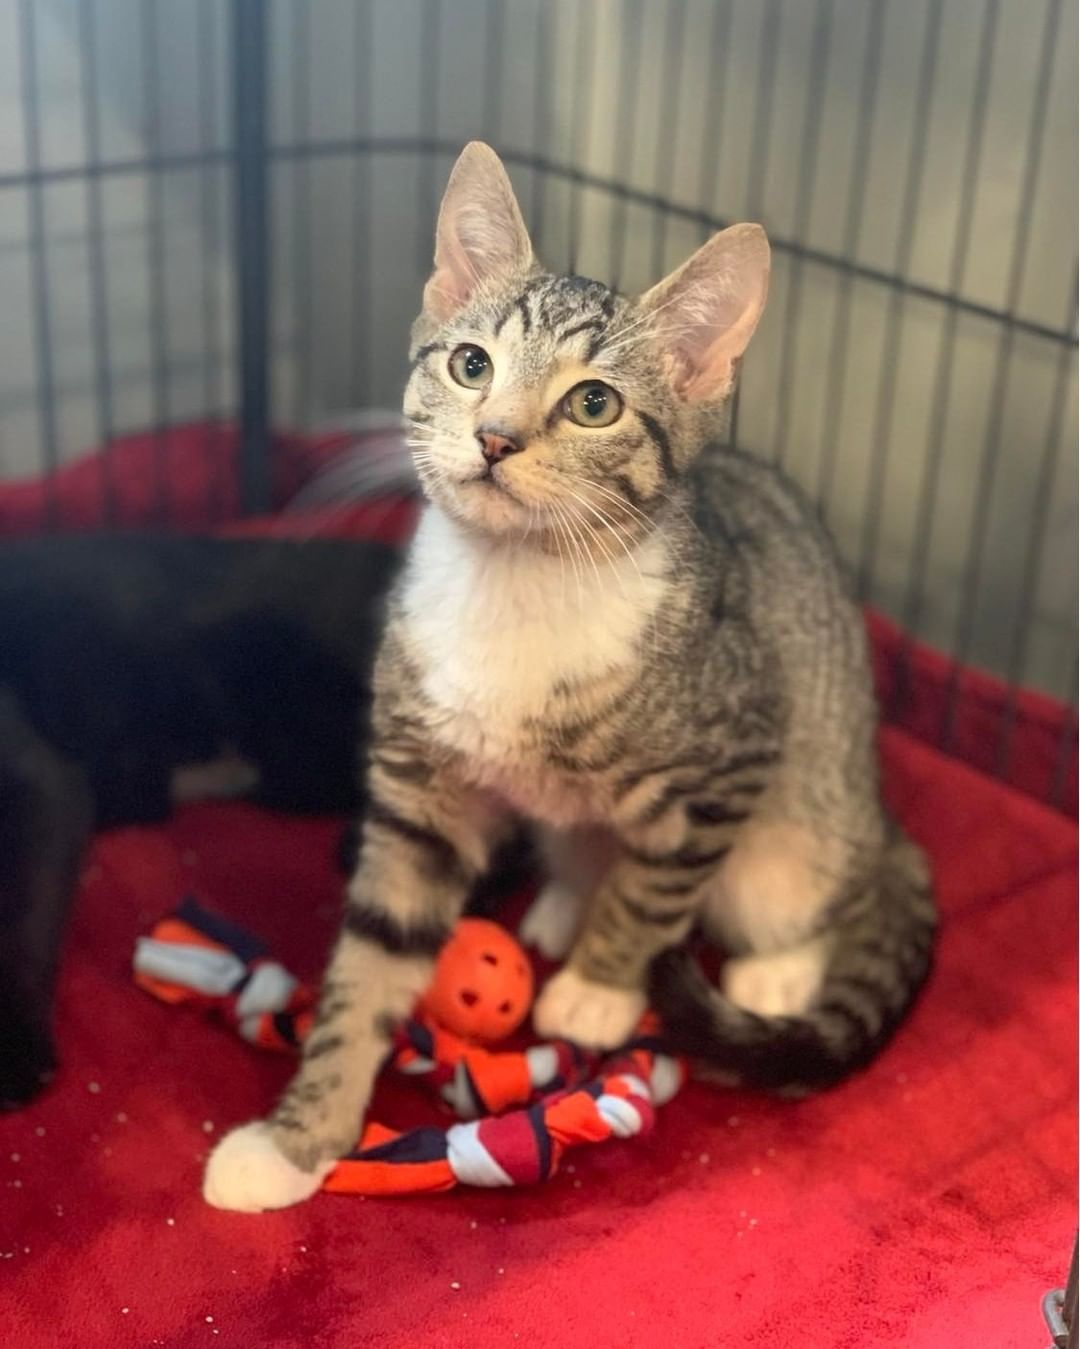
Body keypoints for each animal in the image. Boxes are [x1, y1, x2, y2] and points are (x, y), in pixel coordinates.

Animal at [206, 142, 933, 1208]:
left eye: (595, 403)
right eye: (471, 364)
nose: (495, 438)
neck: (517, 581)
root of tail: (884, 818)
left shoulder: (734, 751)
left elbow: (655, 887)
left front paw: (600, 985)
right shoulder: (420, 801)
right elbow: (373, 957)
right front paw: (297, 1138)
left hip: (808, 806)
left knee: (808, 885)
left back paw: (775, 967)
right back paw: (561, 897)